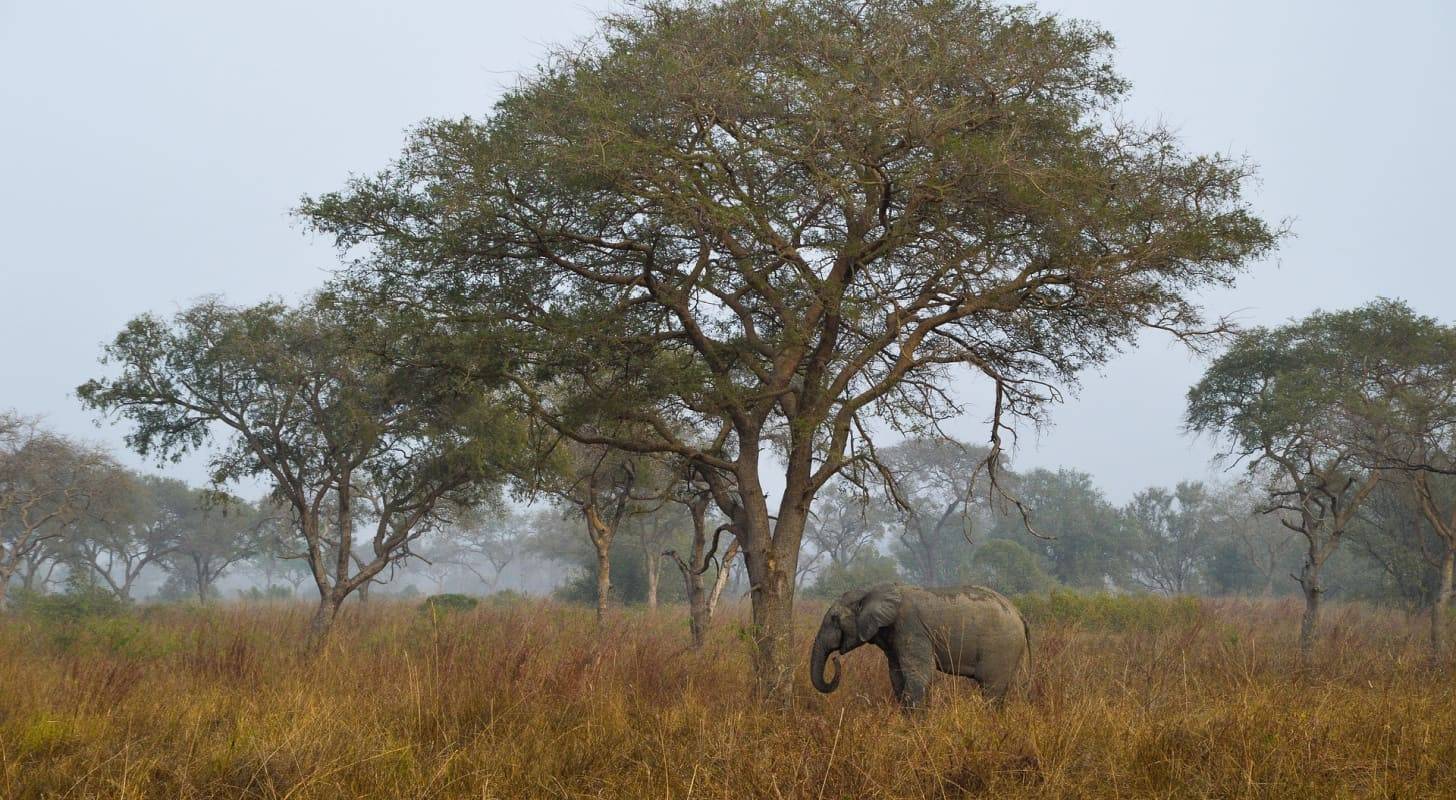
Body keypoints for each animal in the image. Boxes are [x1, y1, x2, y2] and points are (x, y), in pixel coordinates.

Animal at [809, 582, 1030, 709]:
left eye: (834, 618)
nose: (836, 658)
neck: (872, 590)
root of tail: (1020, 614)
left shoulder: (911, 628)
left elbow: (921, 675)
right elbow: (897, 677)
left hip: (1002, 648)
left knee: (992, 690)